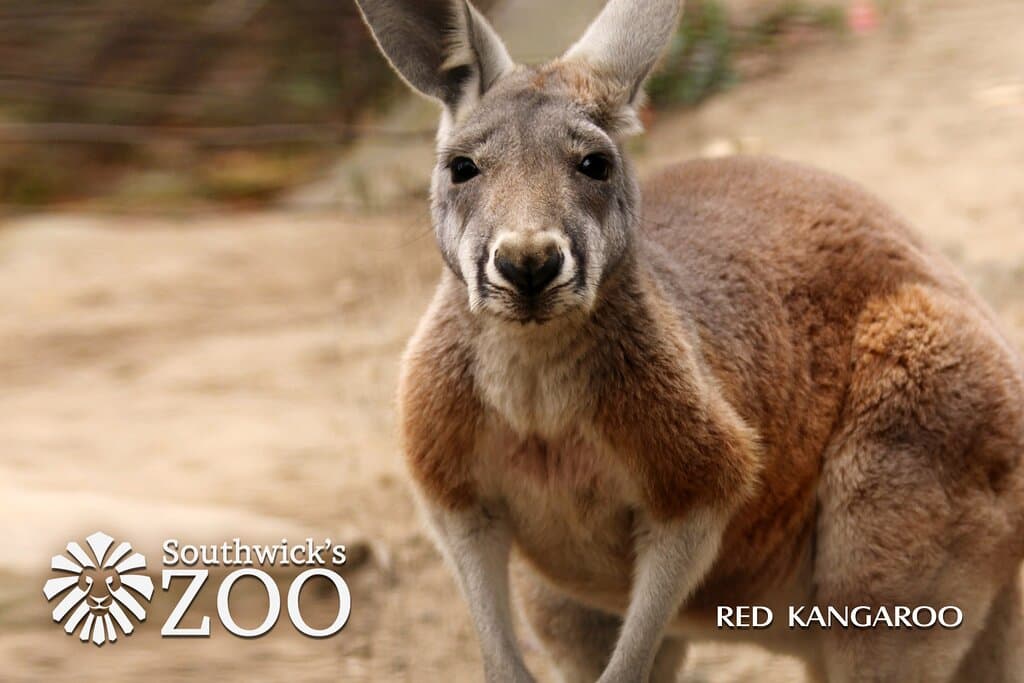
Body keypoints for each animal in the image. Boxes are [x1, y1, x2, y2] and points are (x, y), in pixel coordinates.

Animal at [354, 0, 1024, 681]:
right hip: (562, 601)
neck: (534, 374)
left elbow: (681, 548)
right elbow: (478, 581)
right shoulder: (446, 467)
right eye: (462, 168)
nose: (528, 263)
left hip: (907, 471)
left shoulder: (697, 462)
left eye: (594, 165)